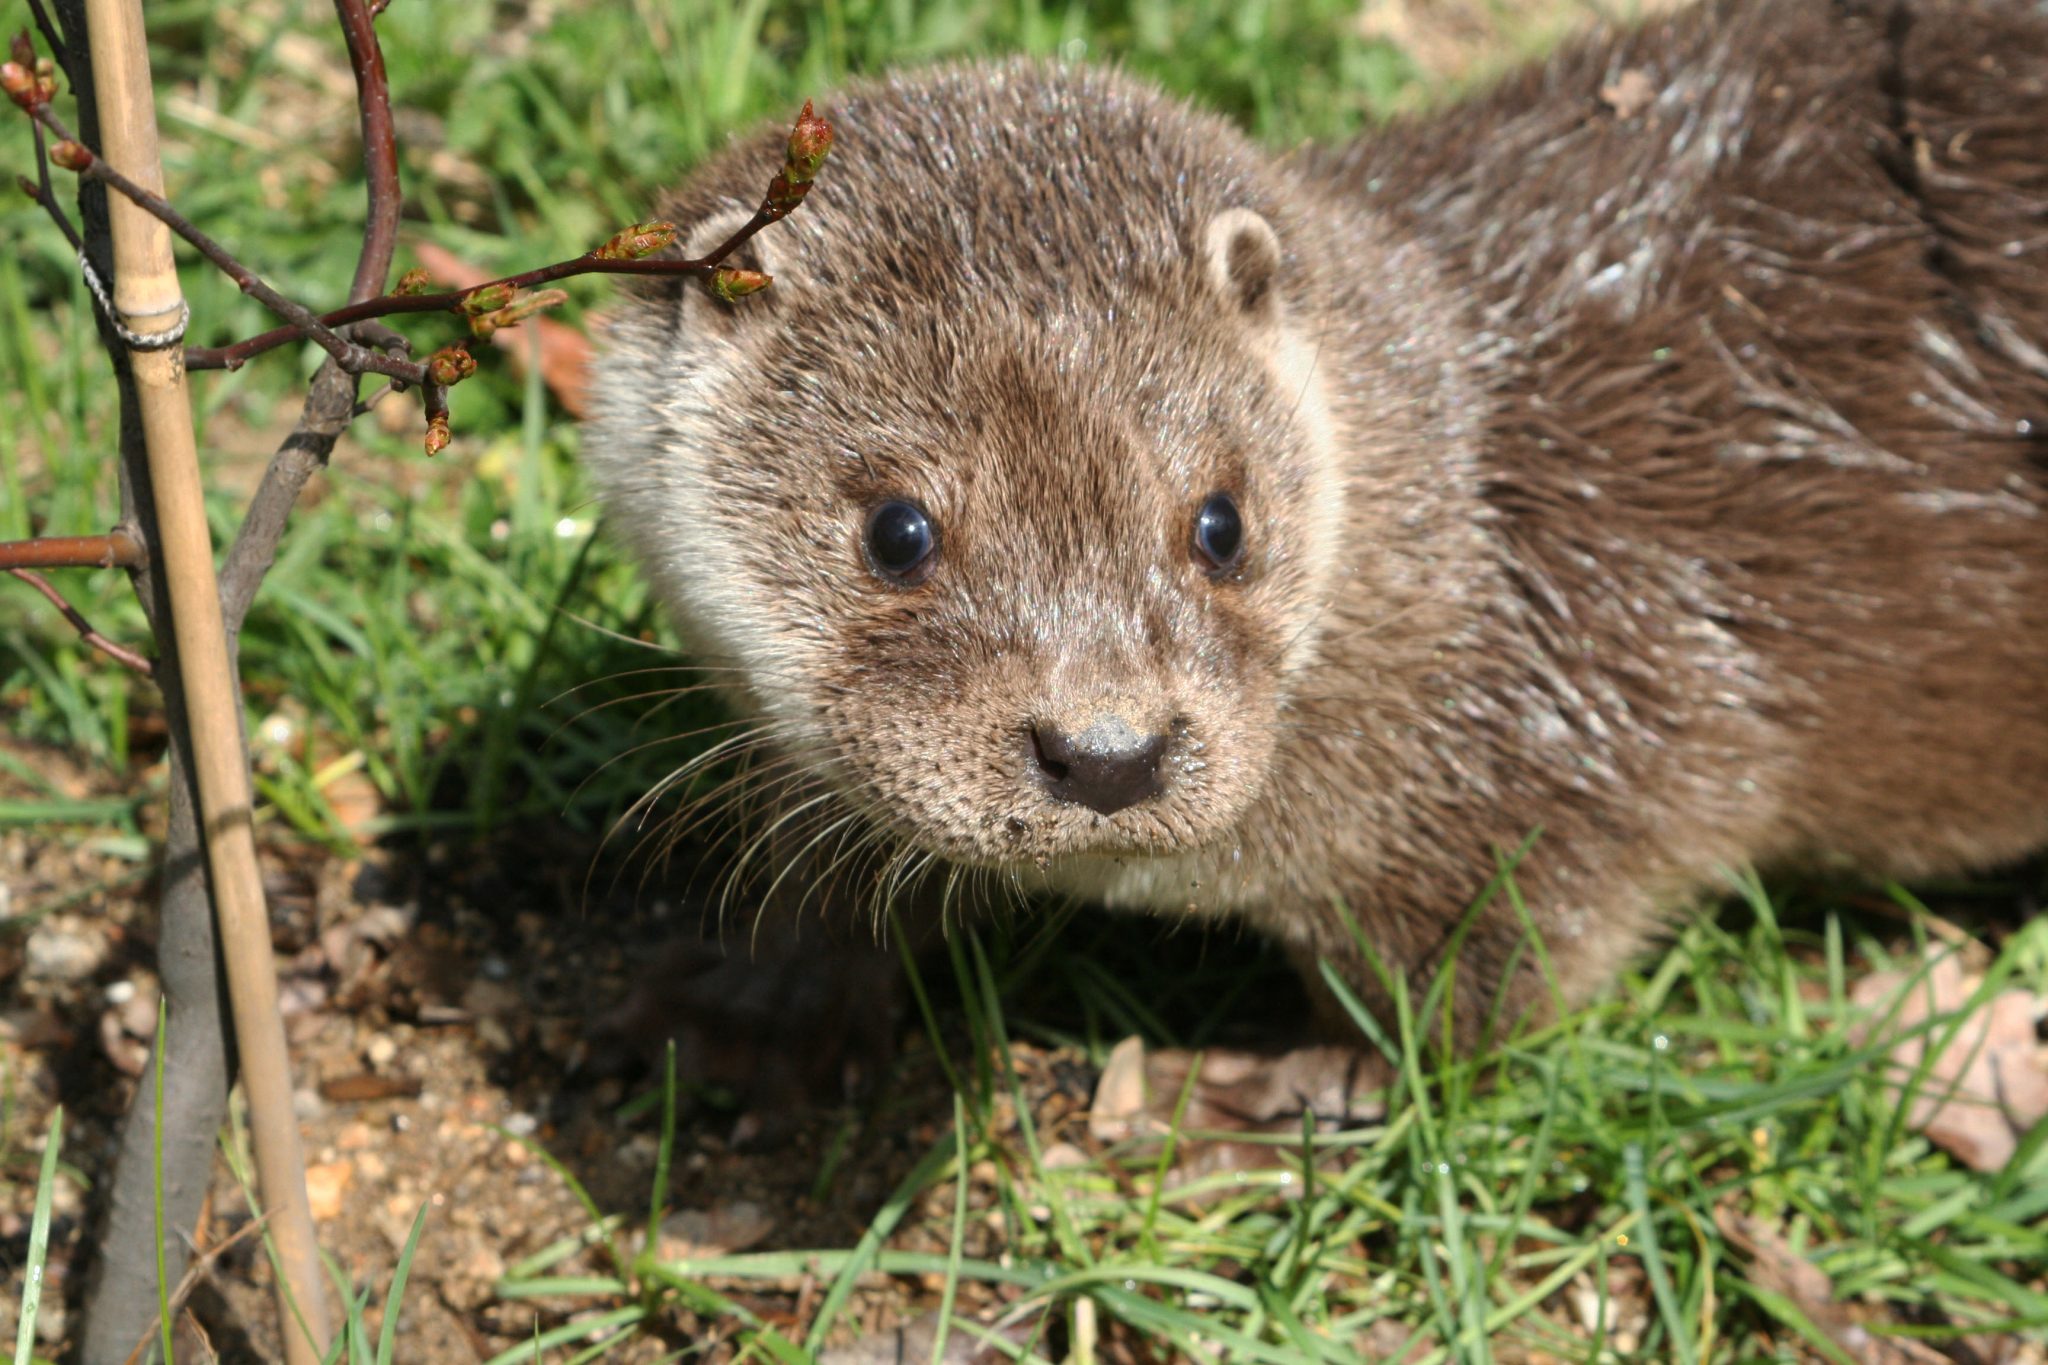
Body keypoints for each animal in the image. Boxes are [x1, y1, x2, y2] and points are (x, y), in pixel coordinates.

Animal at [581, 0, 2048, 1113]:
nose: (1107, 754)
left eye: (1219, 522)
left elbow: (1474, 977)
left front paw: (1264, 1099)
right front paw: (756, 999)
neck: (1474, 529)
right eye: (898, 532)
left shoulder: (1600, 716)